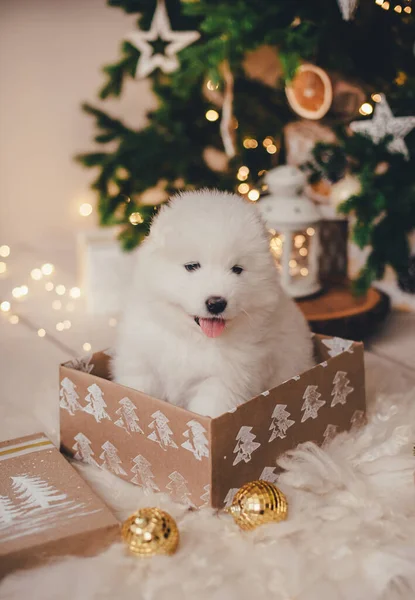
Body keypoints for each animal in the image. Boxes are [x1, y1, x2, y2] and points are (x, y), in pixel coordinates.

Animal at [113, 190, 316, 414]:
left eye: (237, 269)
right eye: (192, 266)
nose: (216, 303)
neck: (192, 339)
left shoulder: (223, 384)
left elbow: (208, 411)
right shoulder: (141, 365)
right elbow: (137, 389)